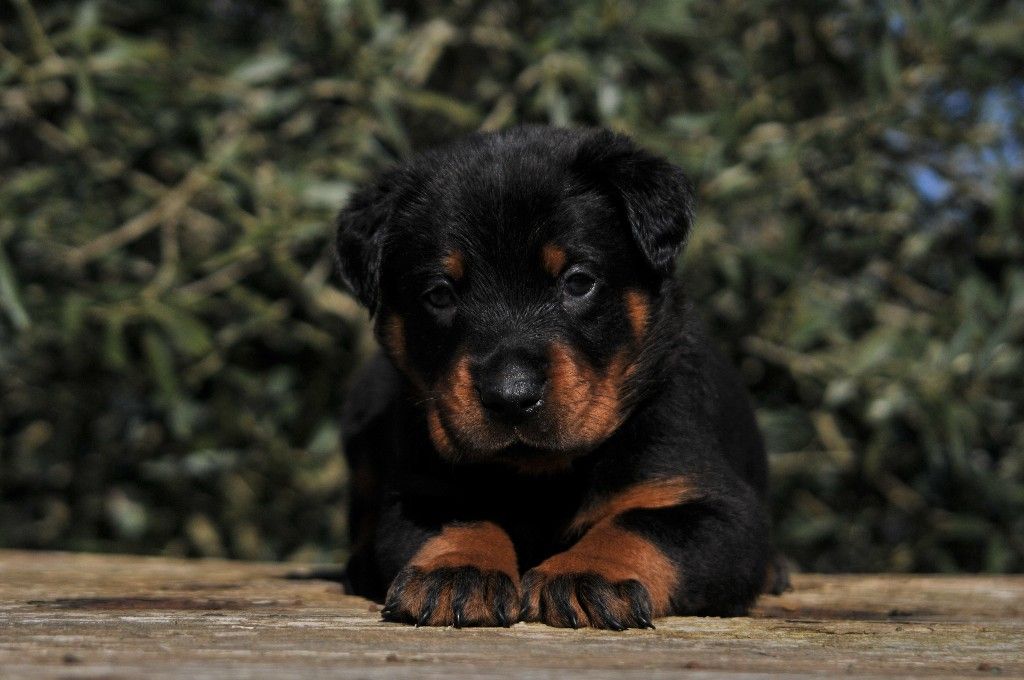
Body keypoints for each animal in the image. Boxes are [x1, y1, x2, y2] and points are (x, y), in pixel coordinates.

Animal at [333, 126, 786, 629]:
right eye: (439, 294)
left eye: (578, 281)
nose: (511, 395)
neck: (544, 476)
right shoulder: (419, 491)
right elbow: (461, 518)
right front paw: (456, 570)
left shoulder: (715, 506)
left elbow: (642, 525)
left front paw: (588, 573)